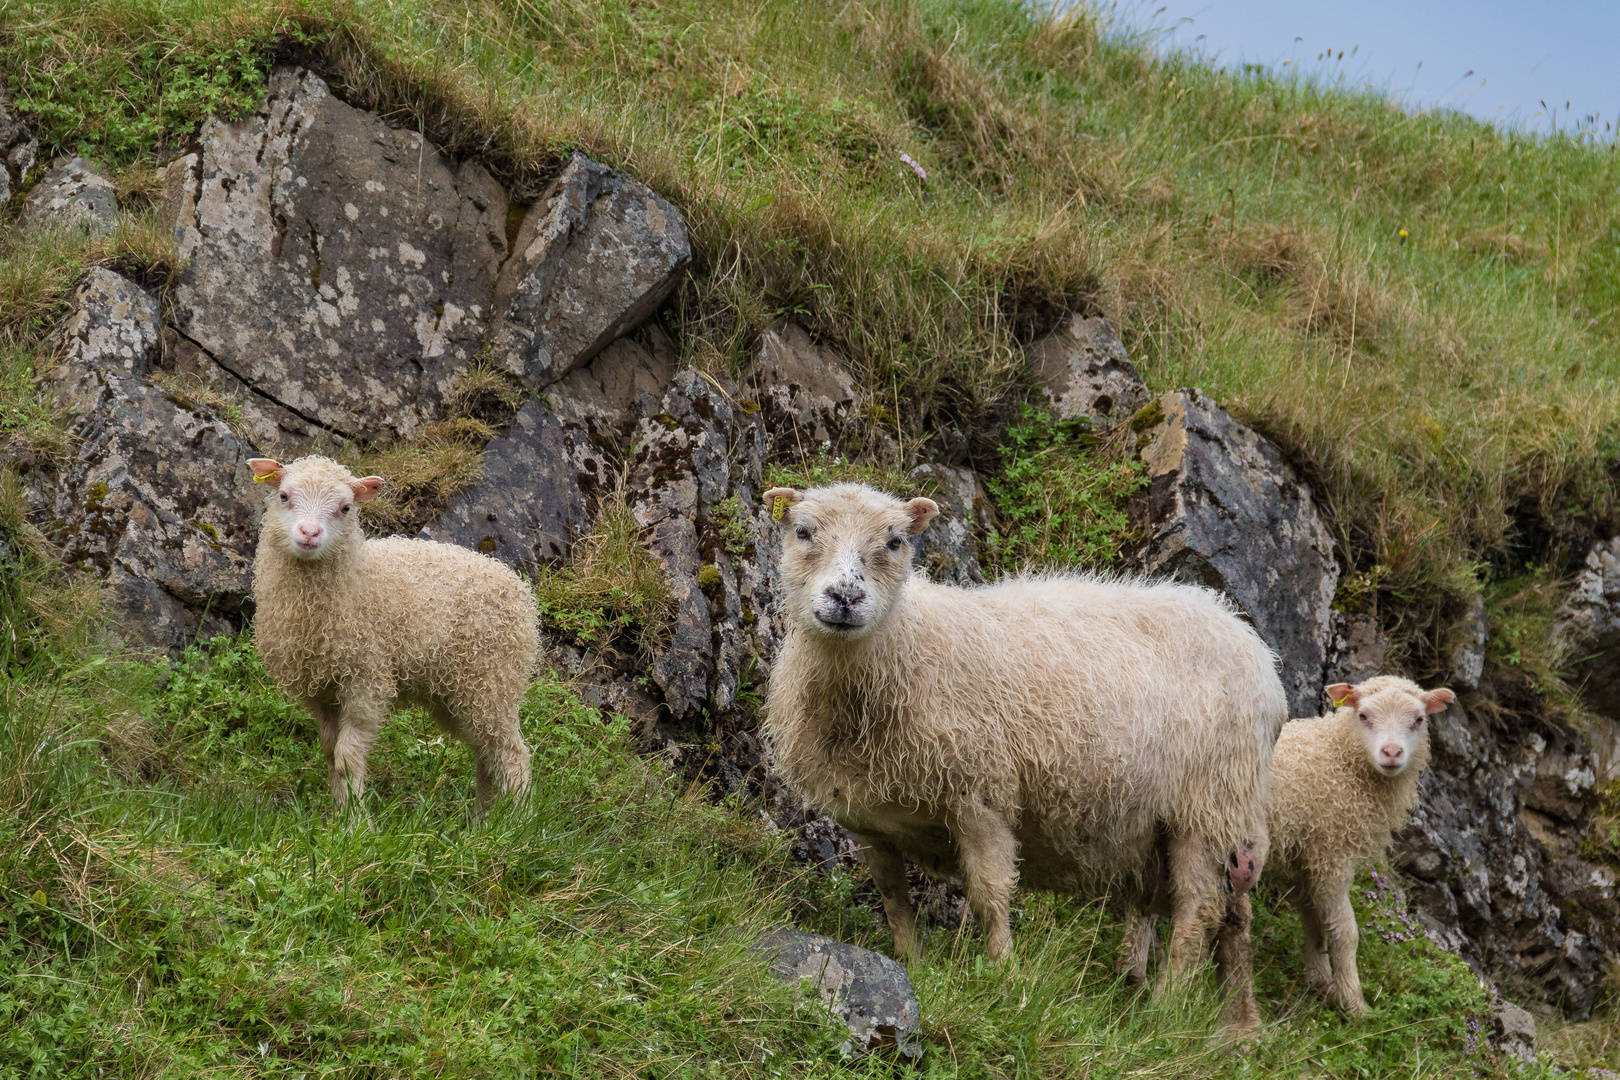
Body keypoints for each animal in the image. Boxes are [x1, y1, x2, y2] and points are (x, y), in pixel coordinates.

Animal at [246, 456, 537, 809]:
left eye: (345, 508)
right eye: (284, 496)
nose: (309, 533)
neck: (356, 581)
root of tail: (519, 588)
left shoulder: (367, 680)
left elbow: (347, 757)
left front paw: (355, 818)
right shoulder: (319, 692)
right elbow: (330, 754)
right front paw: (338, 812)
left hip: (493, 681)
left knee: (511, 754)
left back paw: (515, 818)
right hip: (456, 692)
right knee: (486, 754)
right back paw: (483, 817)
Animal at [764, 482, 1283, 1036]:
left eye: (895, 541)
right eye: (803, 532)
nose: (846, 597)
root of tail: (1251, 643)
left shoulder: (982, 793)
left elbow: (990, 894)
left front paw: (1004, 978)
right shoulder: (867, 818)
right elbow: (891, 893)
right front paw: (911, 961)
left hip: (1209, 806)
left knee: (1199, 913)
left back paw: (1165, 1014)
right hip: (1180, 826)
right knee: (1225, 914)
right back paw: (1214, 1018)